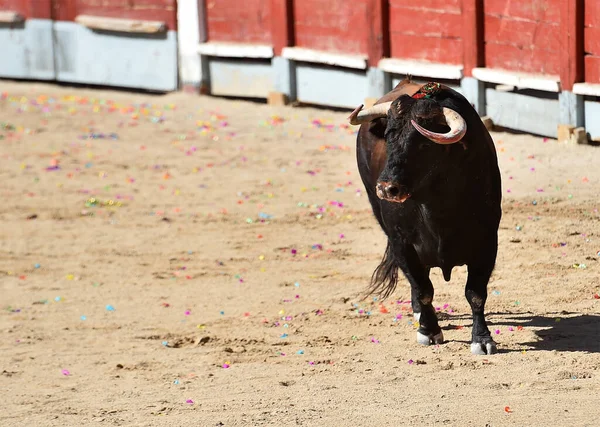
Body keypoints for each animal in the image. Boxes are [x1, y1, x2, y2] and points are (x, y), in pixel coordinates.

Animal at [352, 78, 502, 356]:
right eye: (388, 138)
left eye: (423, 144)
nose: (386, 188)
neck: (436, 204)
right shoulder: (401, 242)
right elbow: (423, 290)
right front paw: (428, 330)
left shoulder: (487, 242)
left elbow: (476, 293)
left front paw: (482, 339)